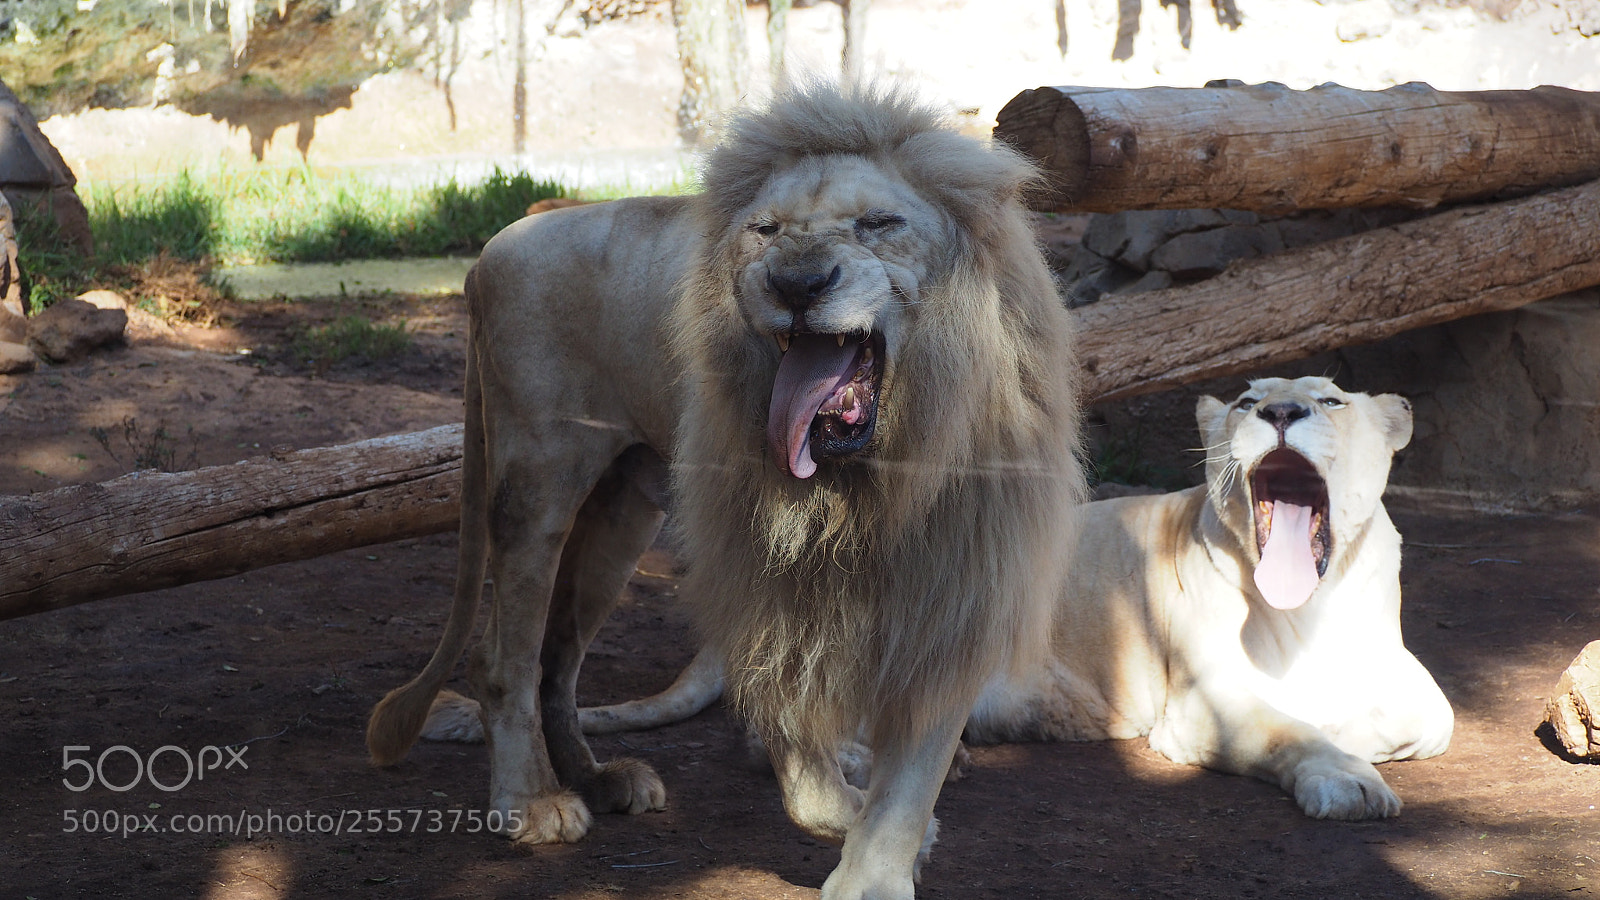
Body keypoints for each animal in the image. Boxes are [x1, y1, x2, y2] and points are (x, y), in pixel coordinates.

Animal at [365, 85, 1086, 895]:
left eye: (879, 224)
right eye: (764, 231)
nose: (796, 284)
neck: (879, 481)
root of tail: (493, 250)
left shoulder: (957, 585)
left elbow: (914, 769)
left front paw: (877, 860)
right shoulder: (760, 582)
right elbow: (801, 751)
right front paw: (848, 808)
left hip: (624, 516)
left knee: (557, 662)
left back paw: (601, 782)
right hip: (536, 482)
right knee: (505, 659)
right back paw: (533, 803)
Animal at [965, 376, 1455, 819]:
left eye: (1332, 401)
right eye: (1247, 402)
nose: (1280, 412)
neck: (1310, 607)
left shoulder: (1406, 678)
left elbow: (1428, 718)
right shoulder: (1201, 701)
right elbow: (1288, 731)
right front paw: (1349, 782)